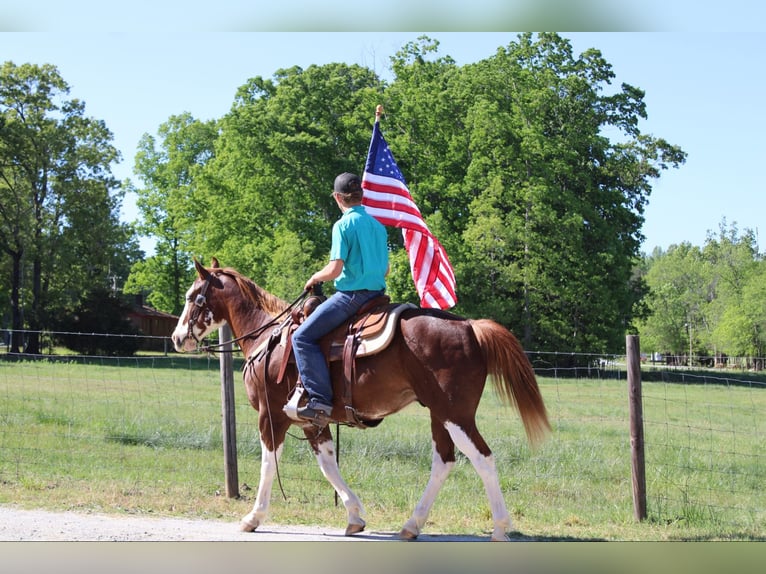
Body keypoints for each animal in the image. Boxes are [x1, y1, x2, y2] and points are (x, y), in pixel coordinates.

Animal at [171, 258, 548, 544]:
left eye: (193, 297)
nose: (177, 338)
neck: (268, 336)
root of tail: (469, 326)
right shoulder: (312, 420)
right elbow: (328, 463)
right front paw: (354, 515)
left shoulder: (271, 415)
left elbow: (268, 462)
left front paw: (253, 517)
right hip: (439, 415)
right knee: (444, 462)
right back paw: (411, 525)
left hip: (455, 414)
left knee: (482, 459)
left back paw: (500, 528)